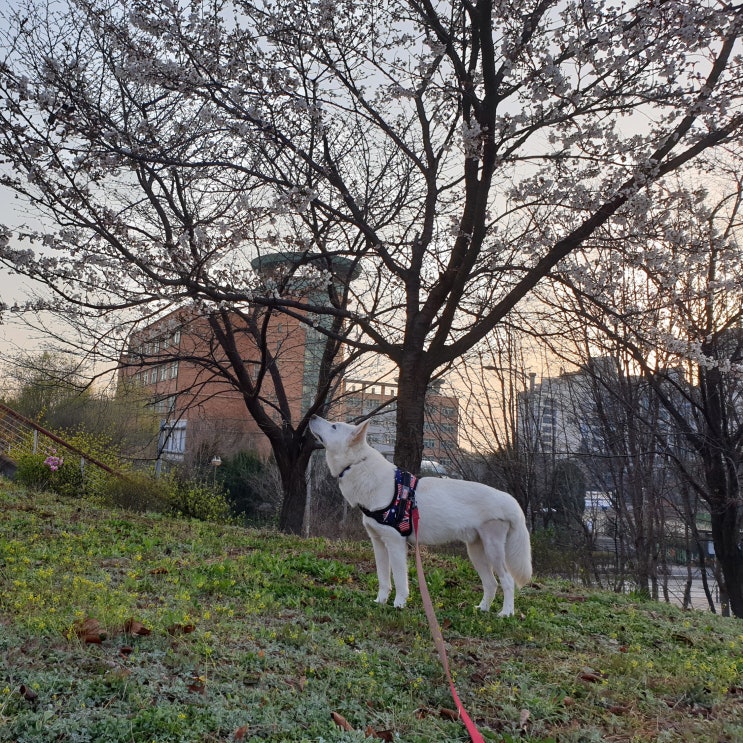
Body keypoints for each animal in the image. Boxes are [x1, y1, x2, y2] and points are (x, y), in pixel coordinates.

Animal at [306, 418, 528, 616]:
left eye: (334, 426)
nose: (313, 416)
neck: (359, 466)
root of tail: (511, 502)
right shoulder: (378, 543)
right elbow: (383, 579)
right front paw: (380, 602)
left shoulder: (396, 544)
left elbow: (399, 580)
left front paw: (398, 605)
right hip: (476, 553)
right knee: (491, 583)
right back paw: (482, 609)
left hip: (493, 552)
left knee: (507, 581)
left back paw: (506, 613)